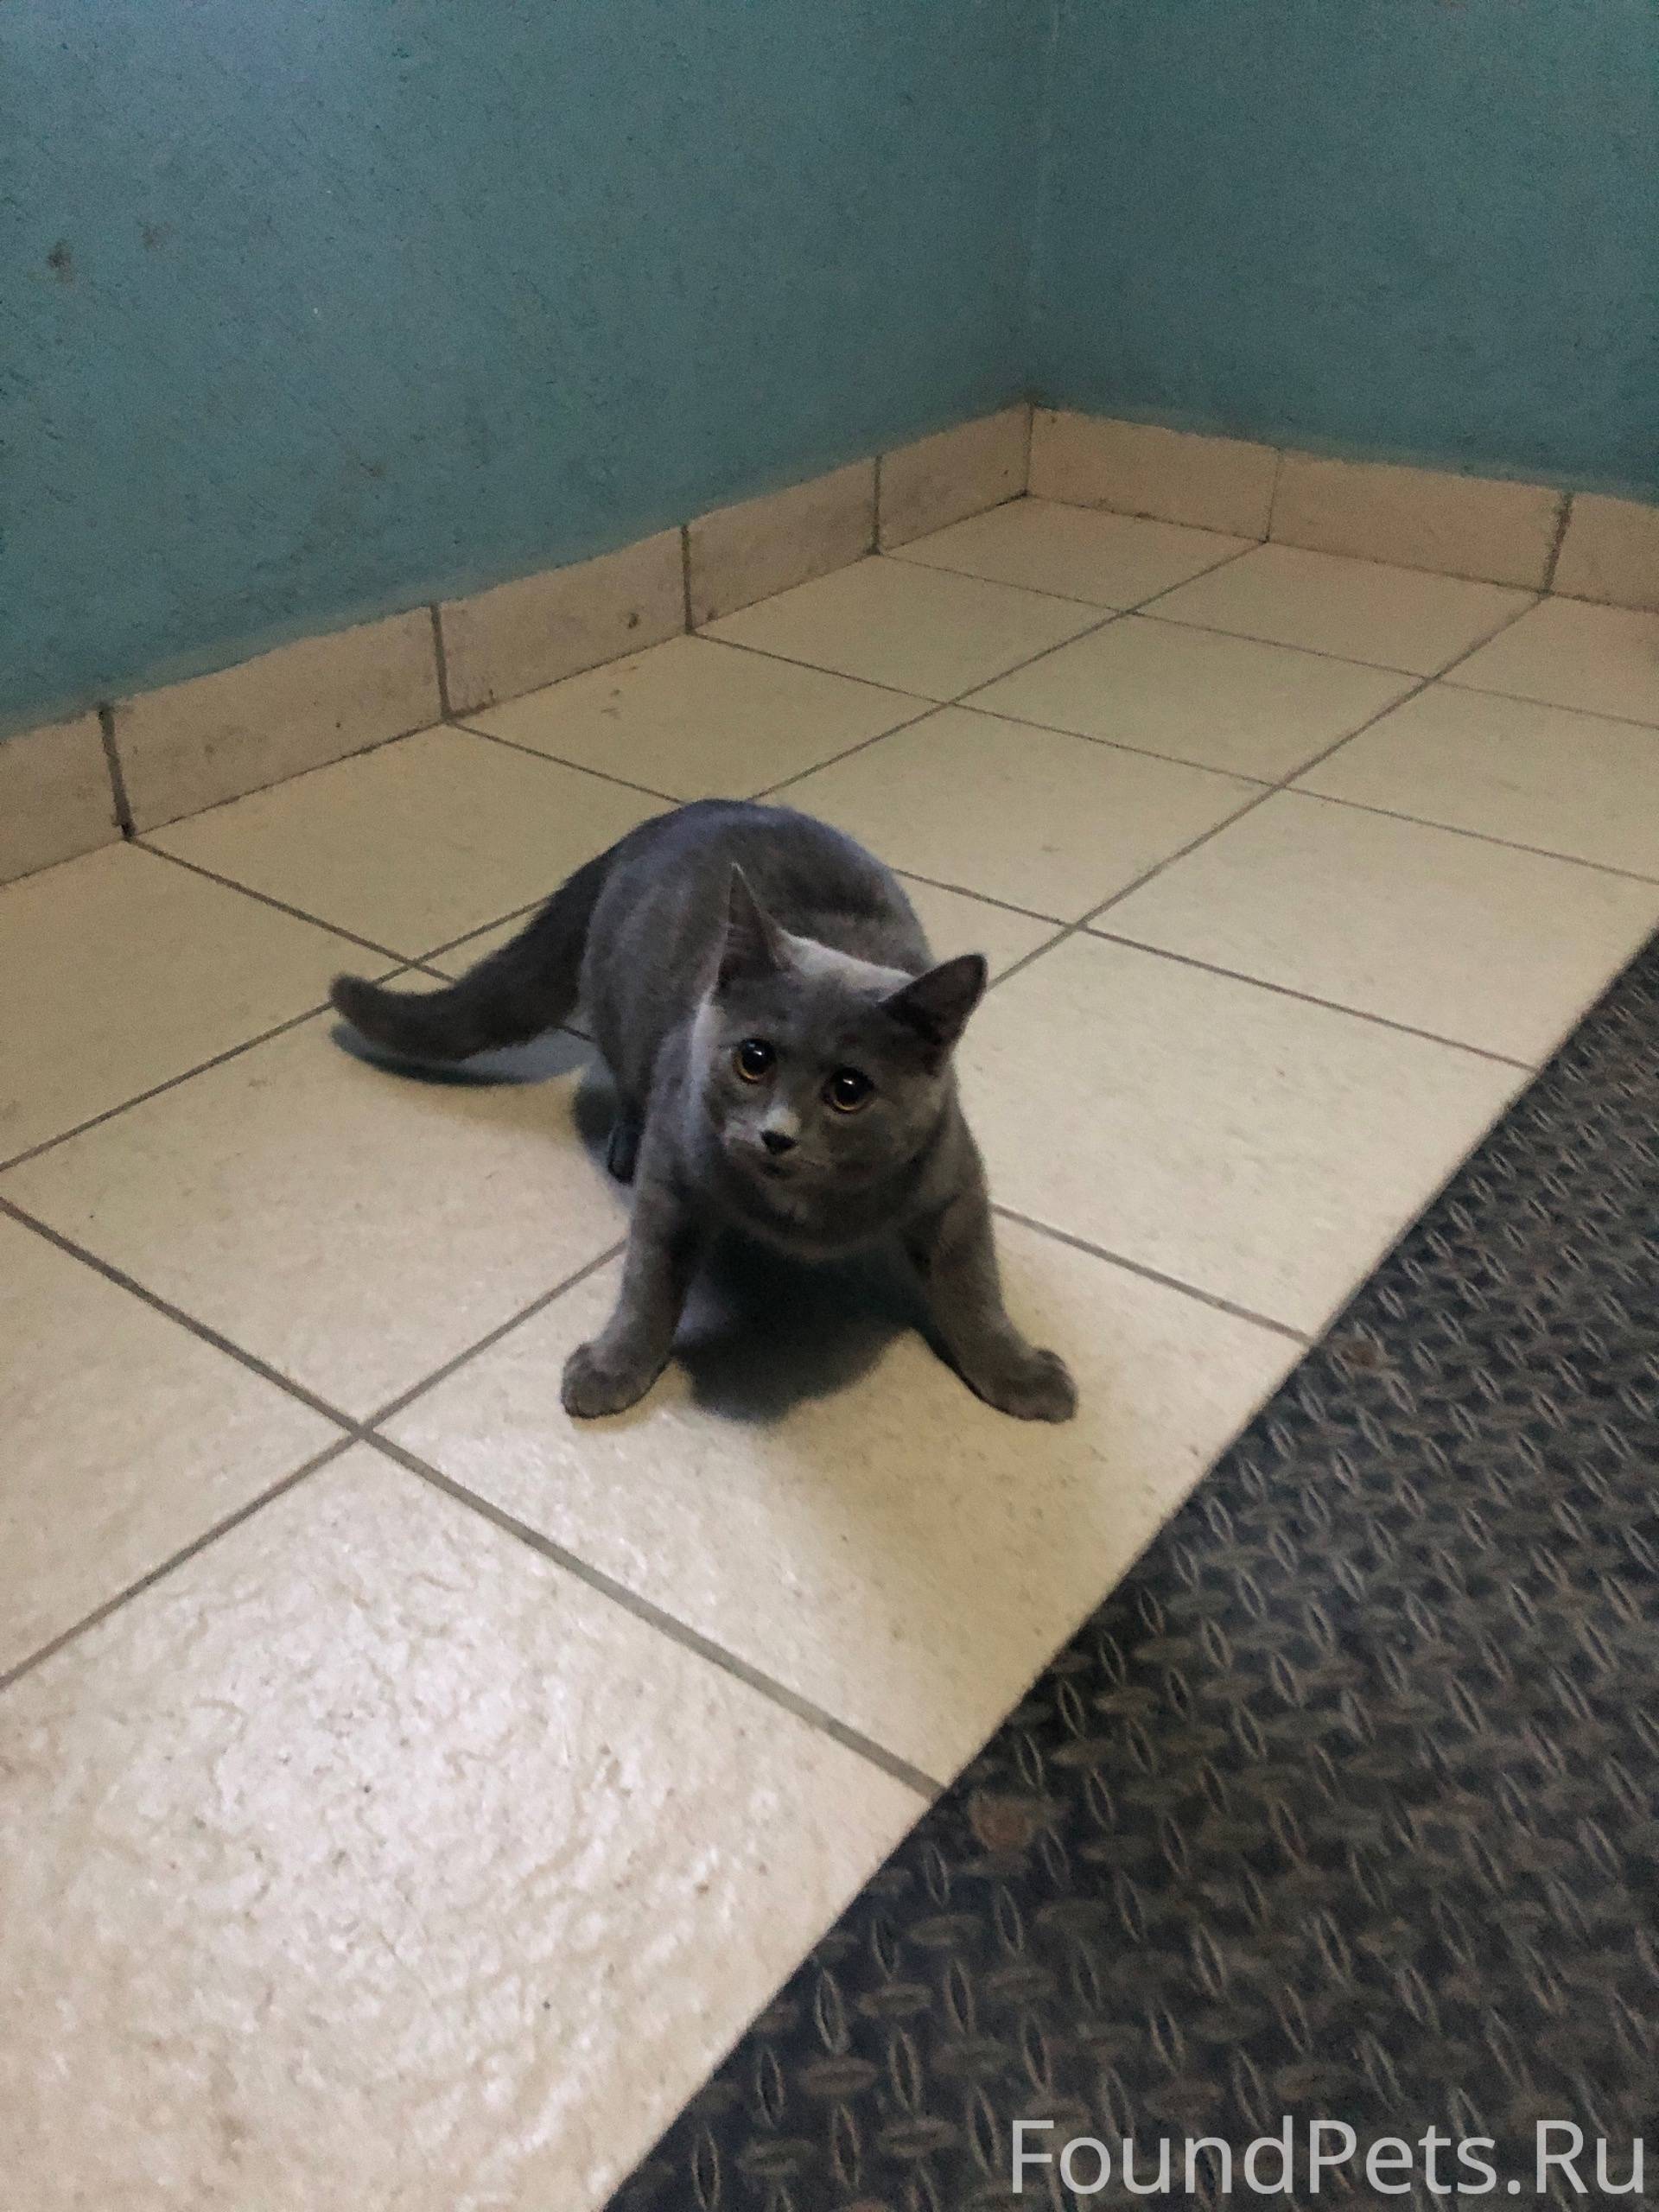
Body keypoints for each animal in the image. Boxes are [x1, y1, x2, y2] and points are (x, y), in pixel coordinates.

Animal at [331, 799, 1076, 1424]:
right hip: (622, 1013)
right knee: (631, 1088)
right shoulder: (675, 1174)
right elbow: (649, 1282)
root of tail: (667, 817)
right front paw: (614, 1367)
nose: (778, 1135)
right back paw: (623, 1145)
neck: (802, 1214)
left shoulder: (954, 1182)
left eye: (849, 1090)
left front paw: (1018, 1374)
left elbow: (975, 1286)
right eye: (754, 1058)